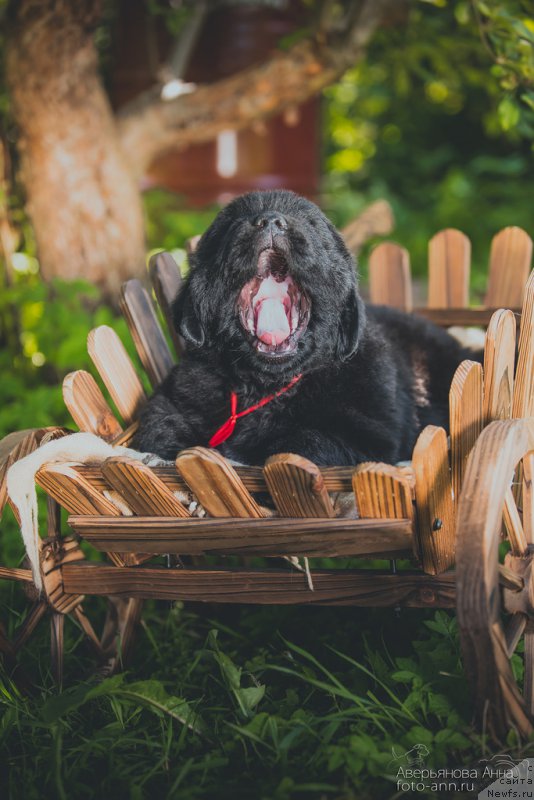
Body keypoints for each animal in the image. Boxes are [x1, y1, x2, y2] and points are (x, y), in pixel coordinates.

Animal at [136, 191, 476, 466]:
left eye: (311, 224)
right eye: (231, 223)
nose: (270, 221)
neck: (267, 388)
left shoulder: (371, 437)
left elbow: (305, 442)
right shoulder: (173, 397)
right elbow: (157, 427)